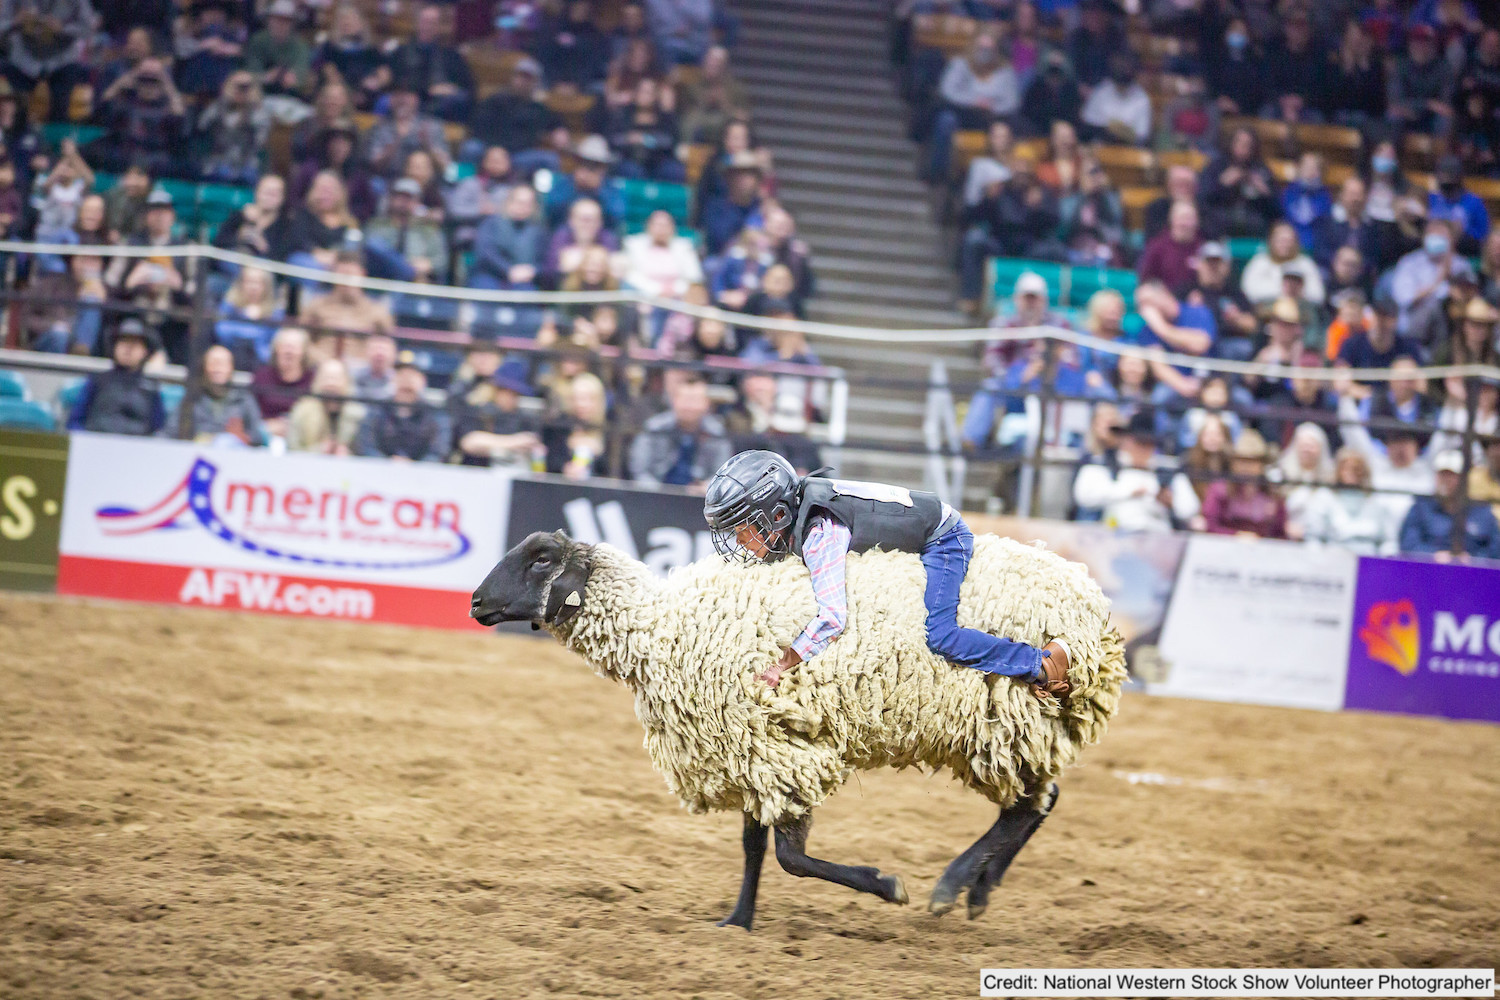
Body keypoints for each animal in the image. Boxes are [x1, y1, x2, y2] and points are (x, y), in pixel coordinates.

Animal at [471, 530, 1128, 929]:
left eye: (540, 559)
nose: (475, 602)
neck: (663, 630)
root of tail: (1092, 605)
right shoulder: (750, 750)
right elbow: (754, 847)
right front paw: (737, 921)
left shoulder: (781, 751)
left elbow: (790, 856)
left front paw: (885, 884)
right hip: (1020, 729)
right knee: (1040, 801)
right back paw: (981, 889)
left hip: (1004, 718)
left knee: (1026, 805)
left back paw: (952, 885)